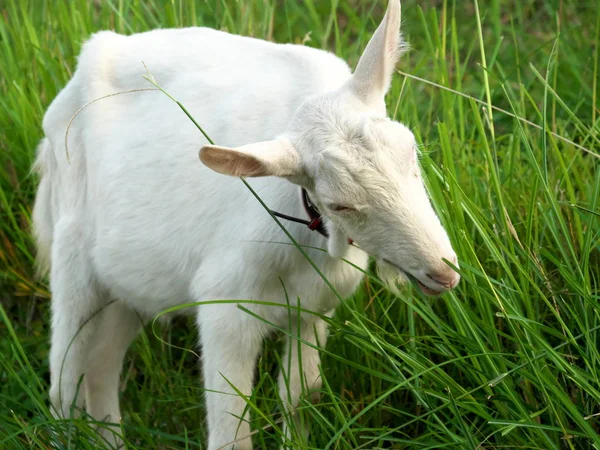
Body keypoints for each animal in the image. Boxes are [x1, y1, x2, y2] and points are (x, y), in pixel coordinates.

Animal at [31, 1, 460, 448]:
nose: (443, 271)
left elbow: (301, 395)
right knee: (64, 380)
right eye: (339, 204)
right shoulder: (226, 308)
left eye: (411, 152)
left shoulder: (313, 307)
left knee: (101, 363)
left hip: (129, 284)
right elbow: (230, 424)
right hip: (73, 258)